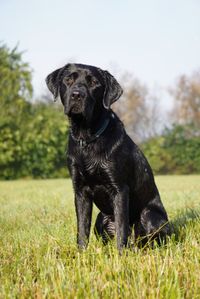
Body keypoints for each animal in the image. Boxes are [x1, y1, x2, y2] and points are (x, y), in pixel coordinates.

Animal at [45, 63, 170, 253]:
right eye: (68, 79)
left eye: (94, 83)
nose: (77, 94)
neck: (87, 137)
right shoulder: (80, 190)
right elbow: (82, 228)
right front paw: (80, 254)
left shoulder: (119, 189)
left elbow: (121, 228)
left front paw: (121, 255)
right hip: (101, 218)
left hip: (149, 215)